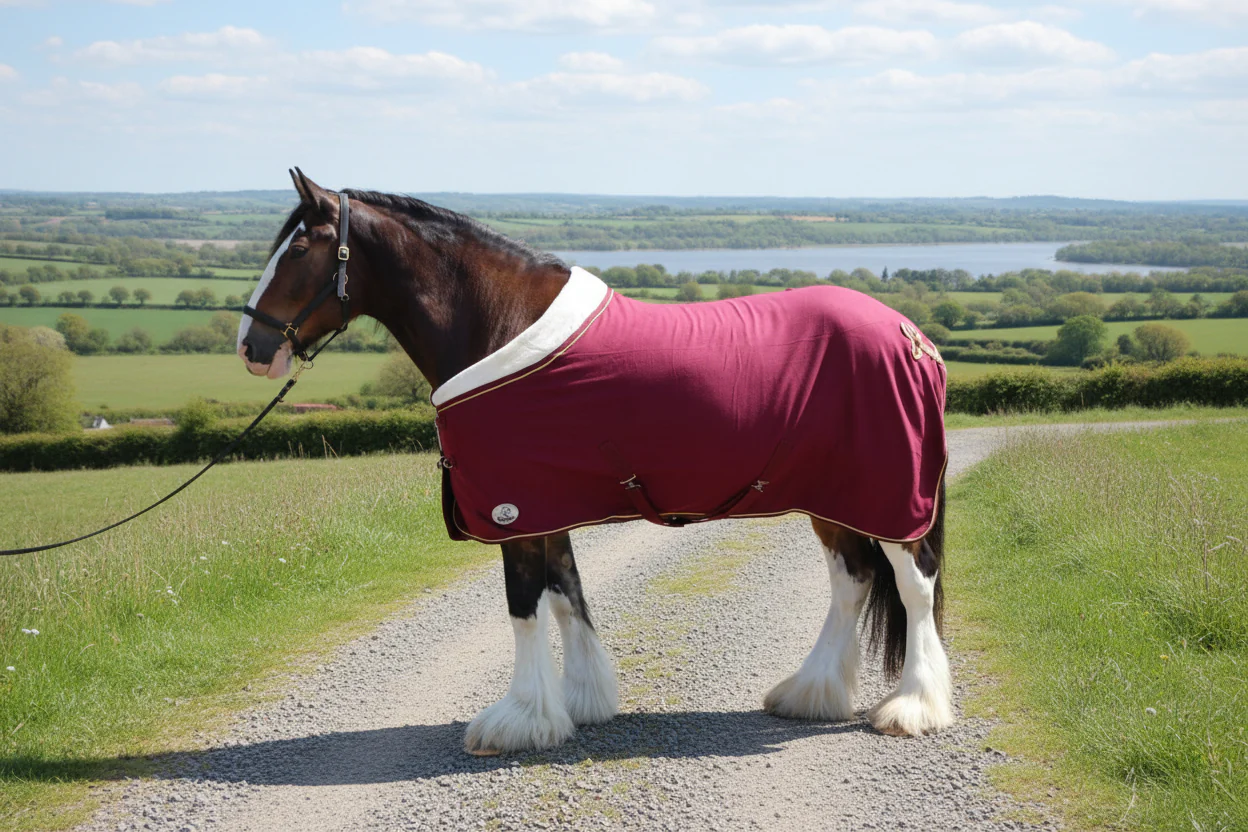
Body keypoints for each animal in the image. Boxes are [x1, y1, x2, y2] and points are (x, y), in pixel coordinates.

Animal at [237, 169, 952, 755]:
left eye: (297, 250)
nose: (251, 346)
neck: (502, 323)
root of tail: (913, 337)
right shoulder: (545, 505)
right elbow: (566, 596)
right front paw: (581, 703)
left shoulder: (515, 507)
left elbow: (524, 605)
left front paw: (520, 719)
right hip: (834, 497)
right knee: (852, 580)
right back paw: (810, 693)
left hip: (891, 496)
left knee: (913, 584)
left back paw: (913, 707)